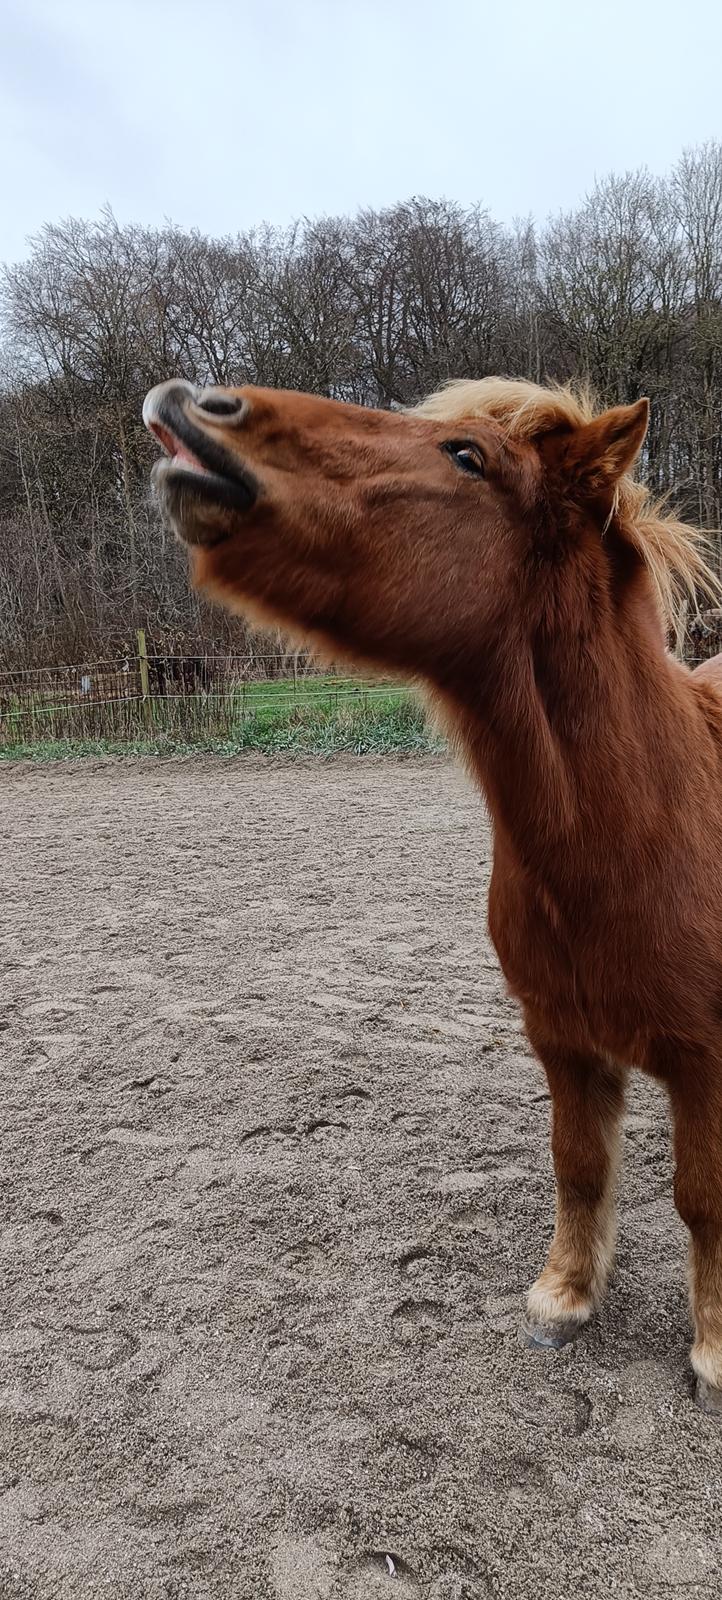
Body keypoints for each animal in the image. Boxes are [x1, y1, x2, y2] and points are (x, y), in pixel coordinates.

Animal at [144, 374, 722, 1414]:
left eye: (467, 457)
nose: (196, 407)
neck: (652, 827)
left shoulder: (705, 1060)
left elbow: (702, 1200)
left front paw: (713, 1353)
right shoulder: (564, 1042)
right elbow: (579, 1167)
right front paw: (563, 1299)